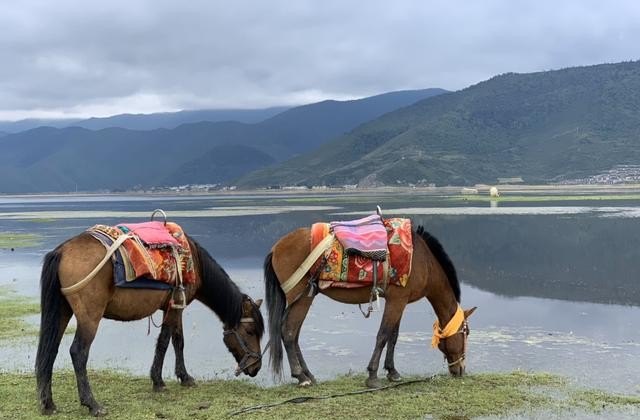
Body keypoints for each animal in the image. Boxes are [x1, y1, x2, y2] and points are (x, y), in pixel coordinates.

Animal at [34, 230, 264, 416]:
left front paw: (184, 377)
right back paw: (93, 405)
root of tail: (62, 251)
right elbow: (164, 342)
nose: (256, 368)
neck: (194, 262)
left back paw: (48, 404)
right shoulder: (174, 308)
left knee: (50, 350)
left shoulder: (175, 307)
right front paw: (159, 382)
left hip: (62, 312)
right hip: (89, 317)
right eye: (250, 331)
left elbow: (178, 341)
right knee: (78, 353)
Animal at [264, 225, 476, 388]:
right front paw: (373, 376)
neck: (423, 260)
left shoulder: (400, 301)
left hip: (304, 298)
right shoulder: (397, 300)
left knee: (293, 335)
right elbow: (383, 335)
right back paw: (301, 377)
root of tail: (276, 247)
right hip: (302, 299)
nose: (460, 370)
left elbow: (393, 337)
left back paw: (309, 375)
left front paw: (392, 372)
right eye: (465, 333)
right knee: (289, 333)